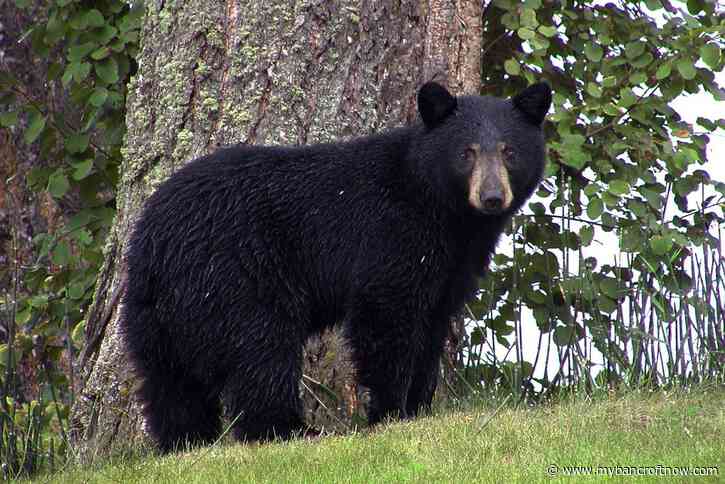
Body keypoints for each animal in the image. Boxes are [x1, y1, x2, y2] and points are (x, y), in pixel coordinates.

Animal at [121, 81, 552, 452]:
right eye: (467, 152)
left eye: (509, 151)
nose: (492, 197)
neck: (444, 211)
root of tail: (153, 241)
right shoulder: (392, 235)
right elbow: (385, 317)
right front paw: (390, 413)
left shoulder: (452, 266)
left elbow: (432, 326)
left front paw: (419, 408)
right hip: (235, 276)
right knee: (260, 351)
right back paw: (290, 430)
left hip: (156, 313)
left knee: (170, 382)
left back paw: (185, 441)